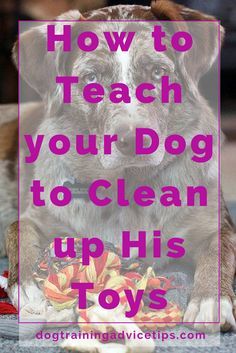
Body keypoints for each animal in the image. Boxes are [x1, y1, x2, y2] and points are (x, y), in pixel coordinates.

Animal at [0, 0, 236, 344]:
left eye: (158, 72)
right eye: (91, 78)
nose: (135, 139)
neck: (128, 183)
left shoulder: (214, 222)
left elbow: (220, 250)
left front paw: (210, 302)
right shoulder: (38, 216)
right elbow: (19, 231)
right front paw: (31, 291)